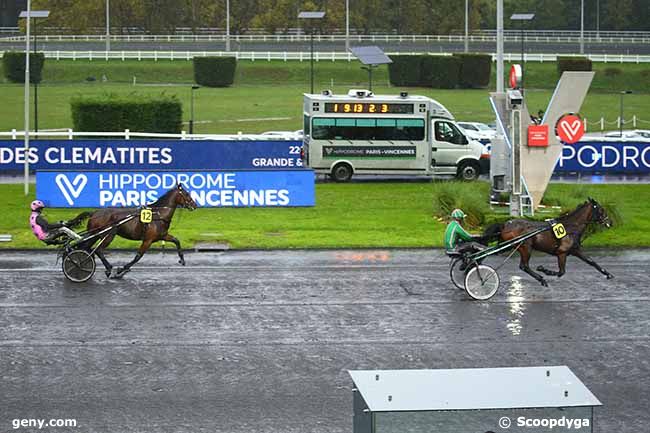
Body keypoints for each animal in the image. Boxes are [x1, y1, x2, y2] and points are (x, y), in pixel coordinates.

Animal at [480, 197, 612, 286]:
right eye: (601, 210)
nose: (610, 222)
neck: (571, 227)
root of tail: (505, 224)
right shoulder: (562, 252)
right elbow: (561, 272)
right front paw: (544, 270)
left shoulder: (575, 250)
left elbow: (591, 262)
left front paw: (608, 274)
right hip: (525, 247)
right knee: (524, 266)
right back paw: (541, 279)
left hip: (510, 246)